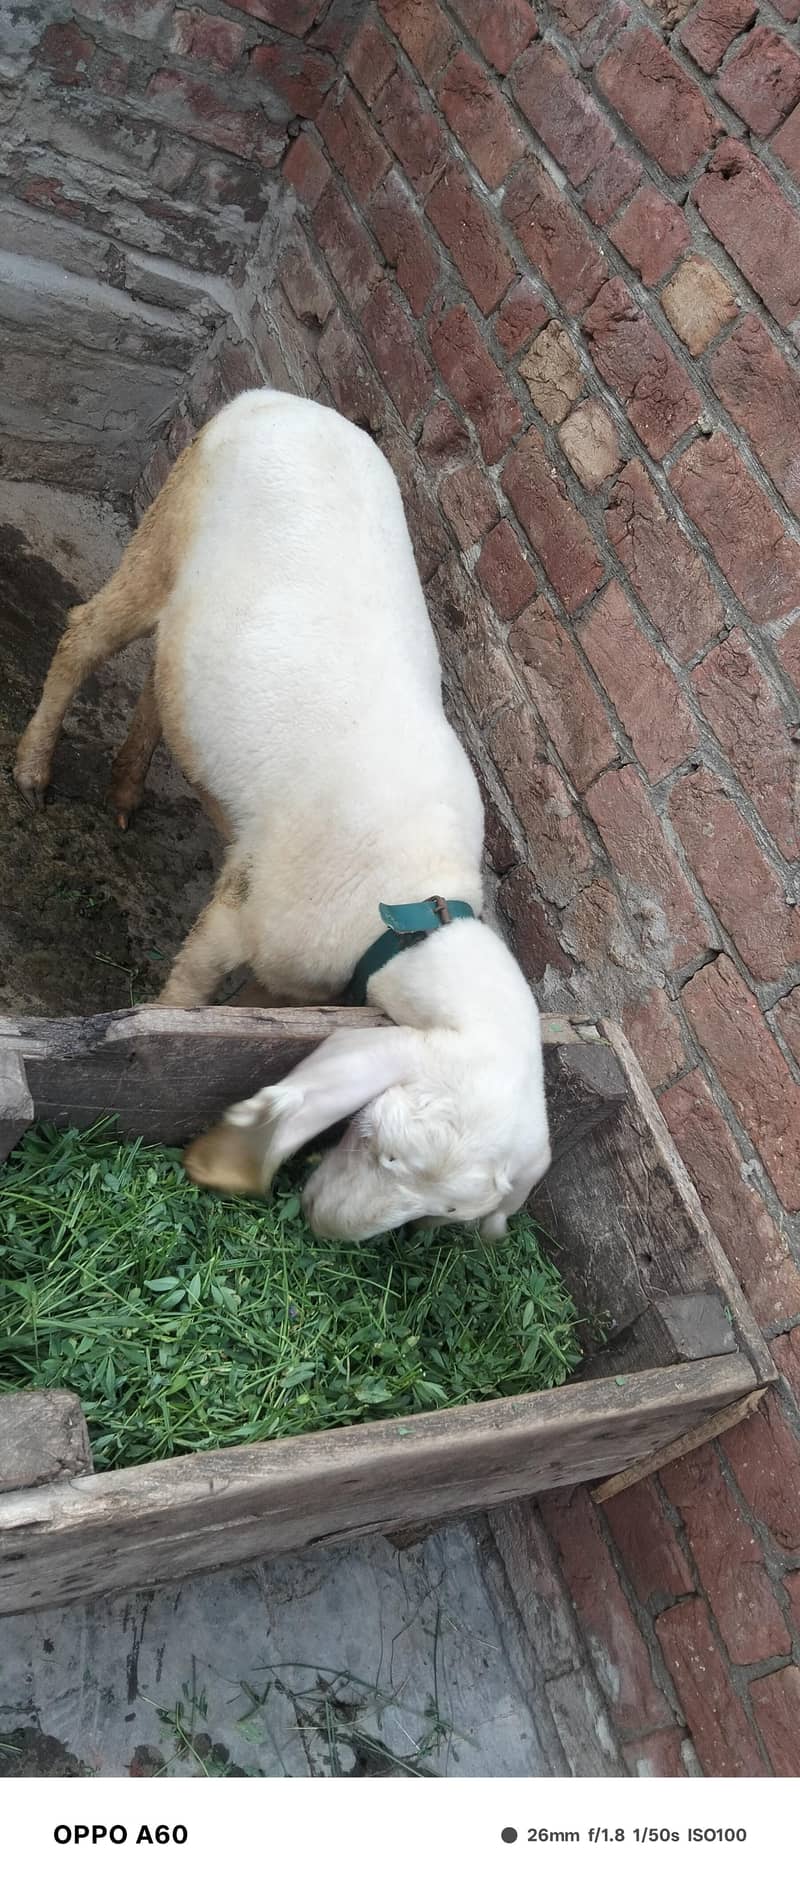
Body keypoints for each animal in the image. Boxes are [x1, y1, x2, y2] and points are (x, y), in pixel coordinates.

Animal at [15, 389, 550, 1240]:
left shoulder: (297, 983)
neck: (411, 904)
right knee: (83, 633)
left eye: (443, 1212)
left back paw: (126, 791)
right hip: (166, 527)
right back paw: (33, 768)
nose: (326, 1228)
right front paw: (157, 1032)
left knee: (160, 678)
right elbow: (190, 993)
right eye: (386, 1148)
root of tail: (277, 399)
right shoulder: (248, 910)